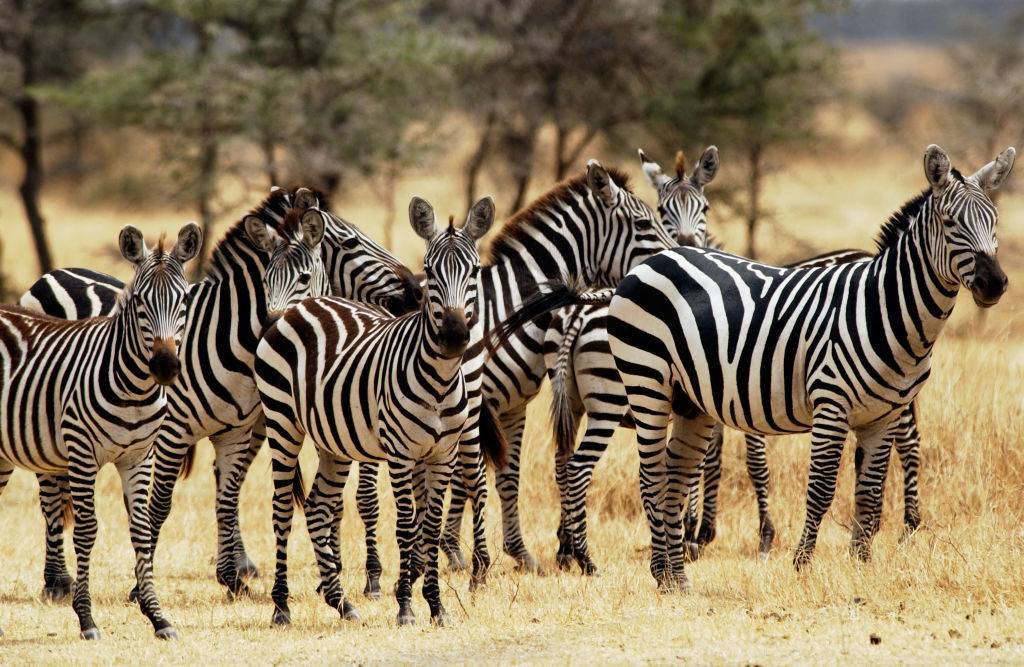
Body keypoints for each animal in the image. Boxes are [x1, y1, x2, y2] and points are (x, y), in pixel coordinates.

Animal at [0, 223, 201, 640]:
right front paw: (86, 618)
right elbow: (87, 530)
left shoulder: (139, 457)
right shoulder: (81, 453)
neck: (135, 391)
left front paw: (157, 616)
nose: (165, 366)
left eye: (184, 300)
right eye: (139, 302)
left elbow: (141, 529)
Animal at [18, 187, 422, 598]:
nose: (413, 289)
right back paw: (57, 581)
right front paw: (138, 586)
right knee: (50, 493)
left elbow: (227, 498)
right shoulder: (173, 431)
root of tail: (55, 272)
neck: (230, 338)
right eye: (352, 241)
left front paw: (231, 577)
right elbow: (159, 506)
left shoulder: (236, 431)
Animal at [254, 196, 498, 626]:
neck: (439, 379)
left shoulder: (441, 454)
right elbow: (403, 525)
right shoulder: (398, 454)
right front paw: (404, 604)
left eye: (474, 271)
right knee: (285, 508)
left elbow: (428, 526)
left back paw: (344, 601)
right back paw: (282, 606)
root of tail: (305, 308)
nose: (454, 336)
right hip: (284, 424)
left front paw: (435, 605)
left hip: (357, 439)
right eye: (430, 271)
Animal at [605, 144, 1014, 589]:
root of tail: (658, 258)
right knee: (652, 475)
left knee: (676, 474)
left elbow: (868, 491)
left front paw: (861, 564)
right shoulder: (831, 405)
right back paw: (662, 570)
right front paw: (801, 562)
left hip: (688, 398)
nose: (995, 284)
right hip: (647, 379)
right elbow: (821, 488)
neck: (884, 308)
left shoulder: (882, 416)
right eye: (950, 222)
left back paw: (676, 577)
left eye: (994, 220)